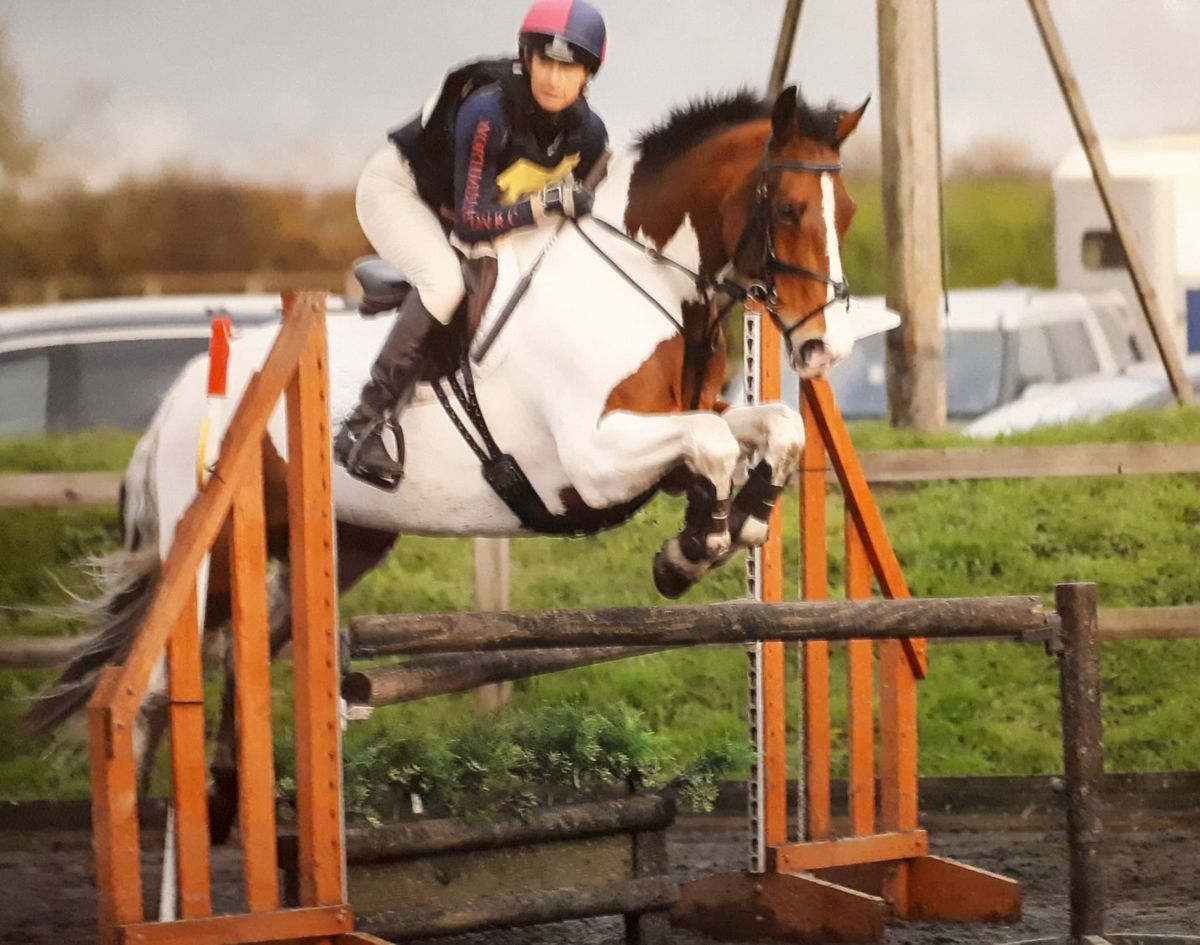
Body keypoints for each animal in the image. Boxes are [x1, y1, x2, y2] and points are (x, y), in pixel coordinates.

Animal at [25, 80, 883, 829]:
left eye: (847, 211)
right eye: (792, 209)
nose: (824, 348)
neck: (643, 282)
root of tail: (174, 404)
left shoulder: (665, 436)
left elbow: (772, 428)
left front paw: (732, 524)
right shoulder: (591, 463)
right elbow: (711, 444)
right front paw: (692, 549)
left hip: (332, 546)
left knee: (243, 657)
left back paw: (235, 806)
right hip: (203, 552)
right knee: (150, 688)